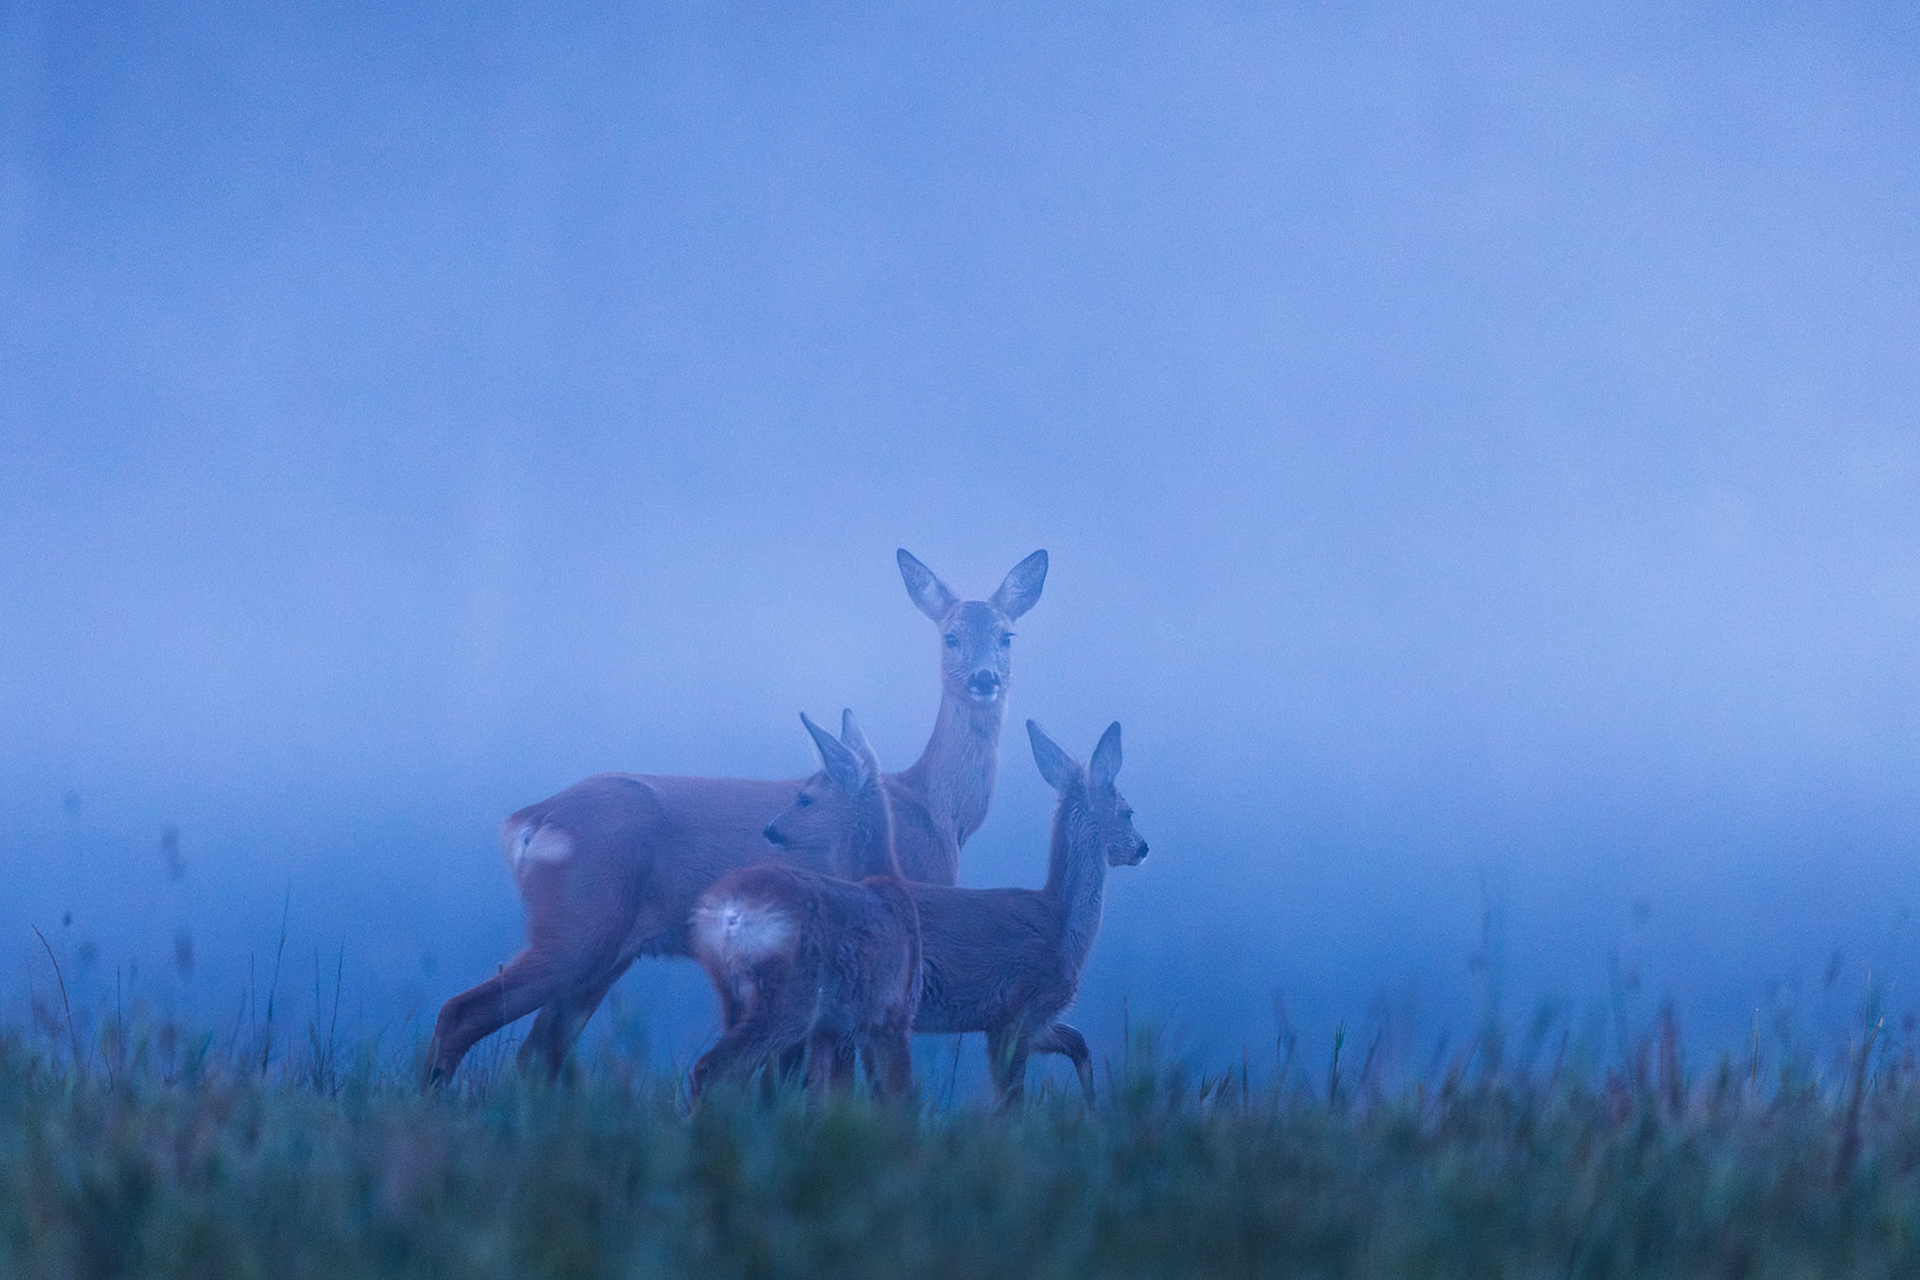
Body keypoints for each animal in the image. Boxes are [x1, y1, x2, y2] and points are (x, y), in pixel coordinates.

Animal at [688, 711, 920, 1099]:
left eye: (805, 799)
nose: (771, 829)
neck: (886, 882)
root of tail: (732, 910)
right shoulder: (891, 1014)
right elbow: (898, 1099)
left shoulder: (832, 1028)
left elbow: (825, 1098)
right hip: (789, 999)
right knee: (715, 1068)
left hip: (732, 994)